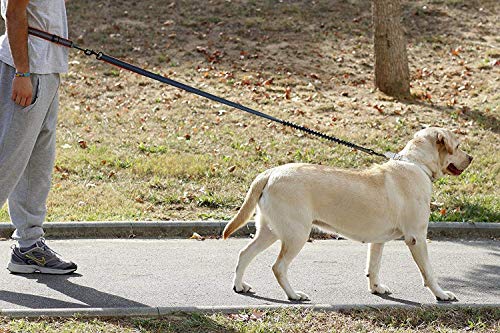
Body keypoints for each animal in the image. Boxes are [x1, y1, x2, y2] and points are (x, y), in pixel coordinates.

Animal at [223, 126, 472, 300]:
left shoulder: (378, 241)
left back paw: (239, 286)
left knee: (244, 254)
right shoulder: (417, 238)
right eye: (458, 145)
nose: (471, 158)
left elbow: (373, 267)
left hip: (270, 231)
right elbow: (429, 272)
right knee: (278, 267)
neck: (416, 164)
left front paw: (376, 288)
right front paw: (441, 294)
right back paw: (294, 295)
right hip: (296, 235)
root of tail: (271, 173)